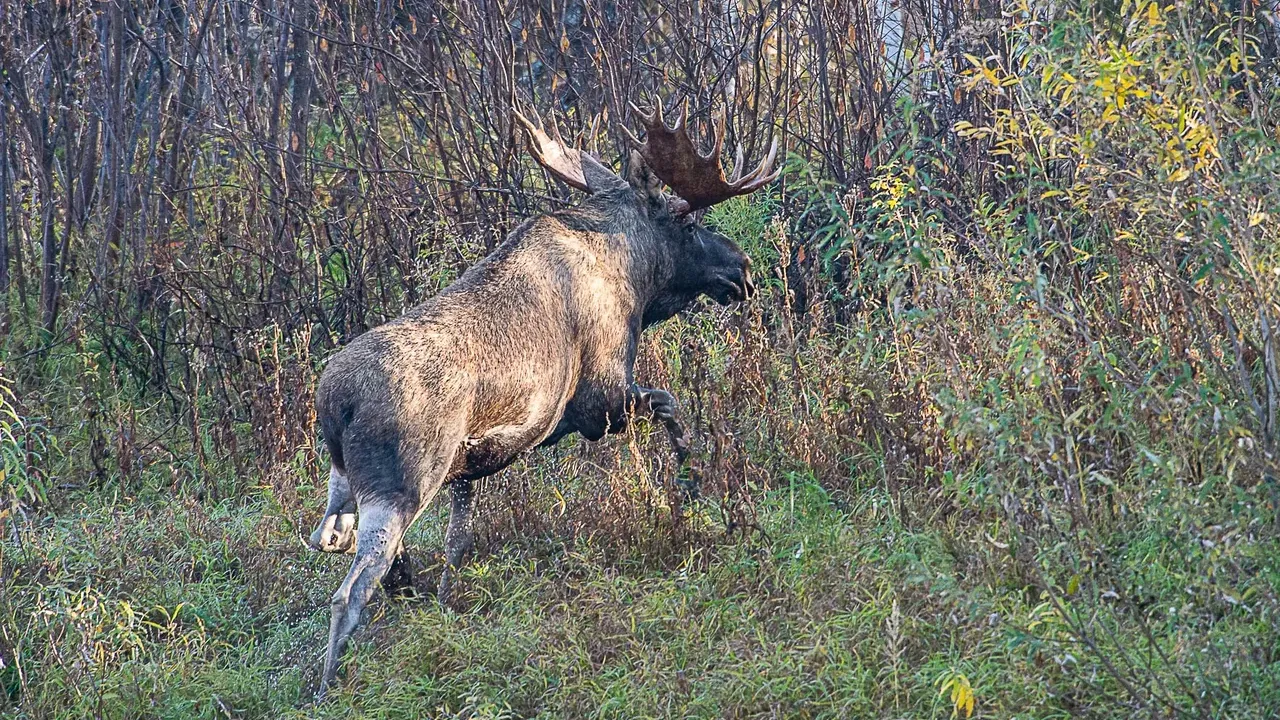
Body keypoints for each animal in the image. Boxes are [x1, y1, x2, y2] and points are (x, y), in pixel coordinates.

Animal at [307, 98, 778, 691]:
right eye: (688, 221)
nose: (743, 268)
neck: (635, 281)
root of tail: (332, 404)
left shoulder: (470, 465)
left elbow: (458, 542)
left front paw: (445, 605)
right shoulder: (602, 398)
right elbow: (672, 407)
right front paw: (692, 489)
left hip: (344, 483)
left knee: (330, 541)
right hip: (404, 483)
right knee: (349, 592)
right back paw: (327, 688)